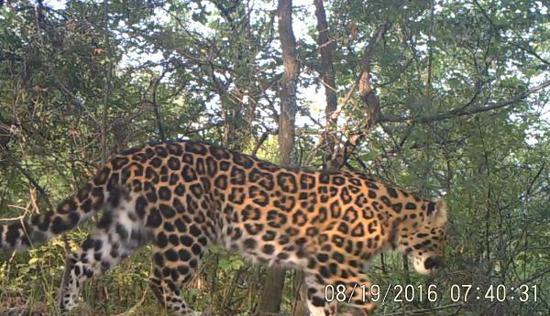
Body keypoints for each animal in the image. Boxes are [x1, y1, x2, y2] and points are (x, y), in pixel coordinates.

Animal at [0, 141, 448, 316]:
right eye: (444, 237)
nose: (440, 265)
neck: (393, 215)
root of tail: (131, 153)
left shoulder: (318, 270)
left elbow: (321, 304)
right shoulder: (338, 261)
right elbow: (368, 295)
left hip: (126, 227)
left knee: (80, 259)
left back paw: (69, 308)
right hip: (187, 230)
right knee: (160, 279)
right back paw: (190, 312)